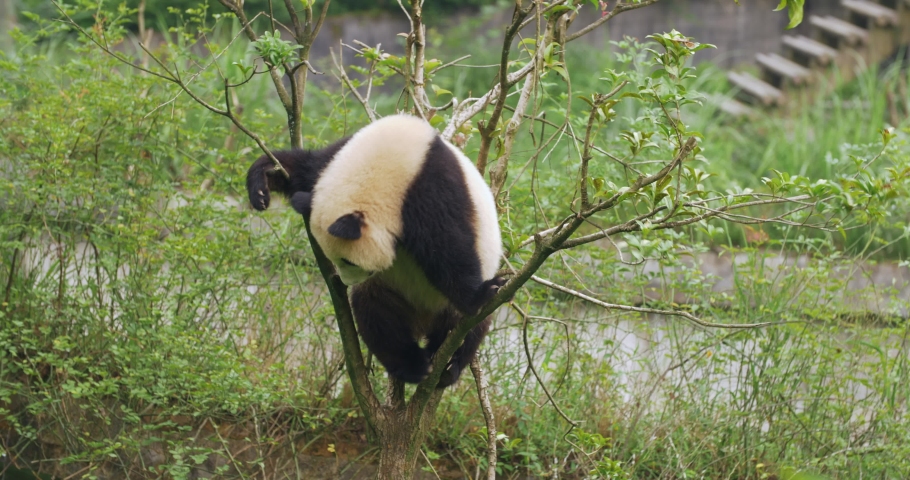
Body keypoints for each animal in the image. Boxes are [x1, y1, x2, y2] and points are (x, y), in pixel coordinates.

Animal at [246, 114, 504, 388]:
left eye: (349, 261)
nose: (345, 281)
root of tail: (423, 321)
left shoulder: (432, 187)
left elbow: (448, 248)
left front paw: (479, 294)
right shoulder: (338, 156)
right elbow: (305, 169)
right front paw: (262, 183)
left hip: (447, 306)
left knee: (470, 327)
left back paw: (449, 365)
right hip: (388, 290)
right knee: (377, 317)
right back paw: (413, 366)